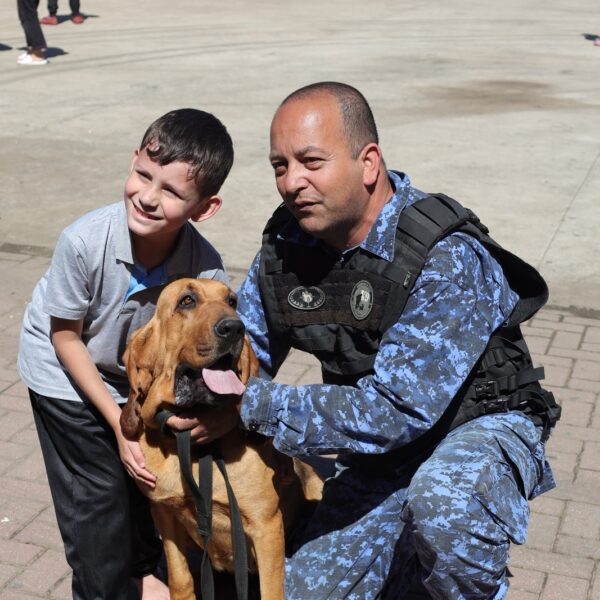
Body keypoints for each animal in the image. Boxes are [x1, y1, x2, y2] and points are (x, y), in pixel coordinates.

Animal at [120, 278, 322, 600]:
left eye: (232, 301)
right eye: (186, 300)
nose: (234, 328)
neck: (195, 449)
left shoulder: (266, 526)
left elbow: (271, 590)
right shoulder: (164, 514)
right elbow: (180, 579)